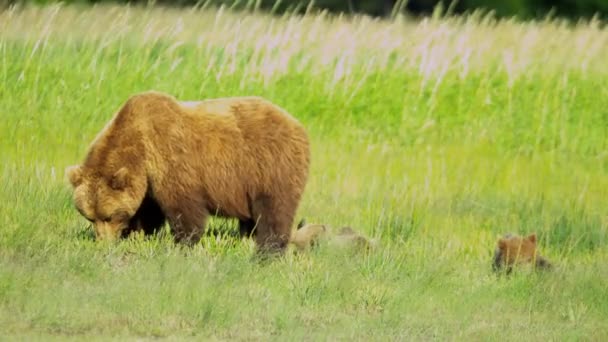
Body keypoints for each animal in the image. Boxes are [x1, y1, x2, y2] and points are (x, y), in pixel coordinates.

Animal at [67, 91, 308, 254]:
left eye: (108, 216)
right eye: (90, 217)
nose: (103, 243)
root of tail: (296, 123)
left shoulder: (172, 161)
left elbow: (184, 208)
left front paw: (183, 242)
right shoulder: (147, 183)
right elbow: (147, 211)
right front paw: (137, 234)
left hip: (270, 167)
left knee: (273, 210)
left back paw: (269, 246)